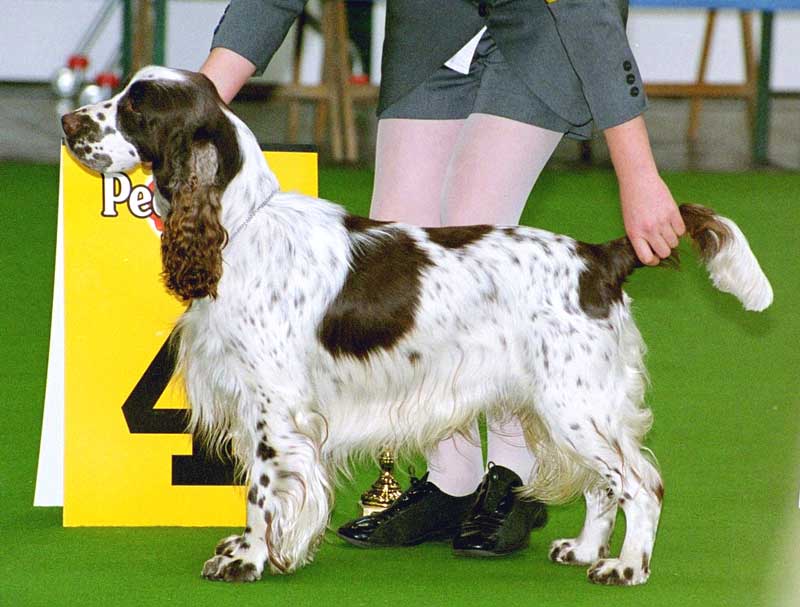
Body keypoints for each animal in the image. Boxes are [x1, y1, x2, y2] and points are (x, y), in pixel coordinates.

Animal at [59, 69, 772, 588]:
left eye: (136, 107)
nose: (67, 122)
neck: (239, 223)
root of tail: (599, 256)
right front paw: (263, 551)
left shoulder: (274, 405)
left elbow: (264, 490)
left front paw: (251, 559)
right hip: (557, 402)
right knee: (603, 484)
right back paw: (581, 549)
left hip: (575, 400)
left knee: (639, 483)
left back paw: (624, 567)